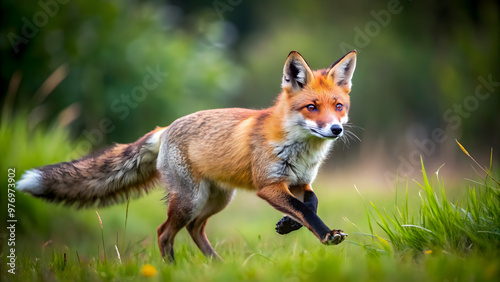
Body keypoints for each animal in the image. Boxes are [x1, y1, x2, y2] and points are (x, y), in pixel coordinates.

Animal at [17, 49, 358, 262]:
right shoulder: (269, 185)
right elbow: (304, 211)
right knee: (164, 233)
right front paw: (327, 235)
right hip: (189, 199)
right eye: (311, 107)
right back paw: (172, 269)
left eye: (338, 106)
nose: (335, 129)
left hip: (217, 199)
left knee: (195, 229)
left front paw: (287, 225)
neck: (301, 149)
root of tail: (165, 128)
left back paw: (218, 266)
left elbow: (310, 204)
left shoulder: (301, 181)